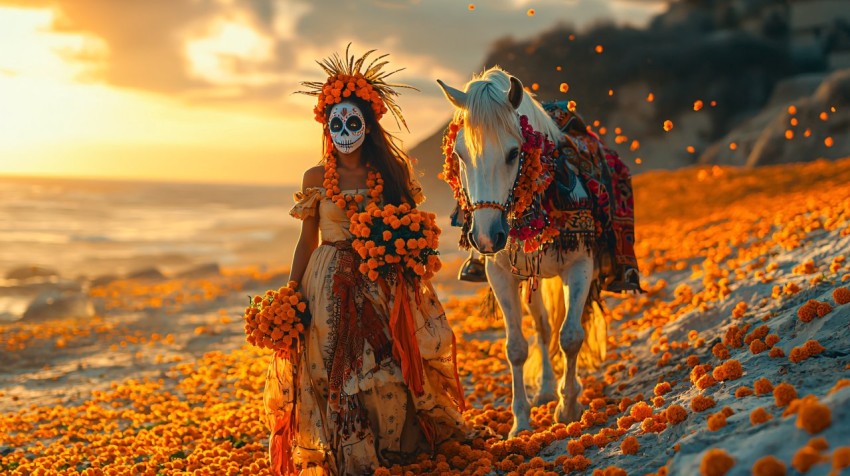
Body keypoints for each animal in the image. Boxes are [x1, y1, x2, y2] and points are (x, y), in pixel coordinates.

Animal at [438, 67, 596, 436]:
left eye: (514, 153)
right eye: (460, 155)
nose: (486, 238)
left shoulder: (580, 266)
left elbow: (571, 336)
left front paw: (568, 408)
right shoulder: (500, 274)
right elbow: (516, 348)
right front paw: (521, 421)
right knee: (542, 327)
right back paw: (547, 390)